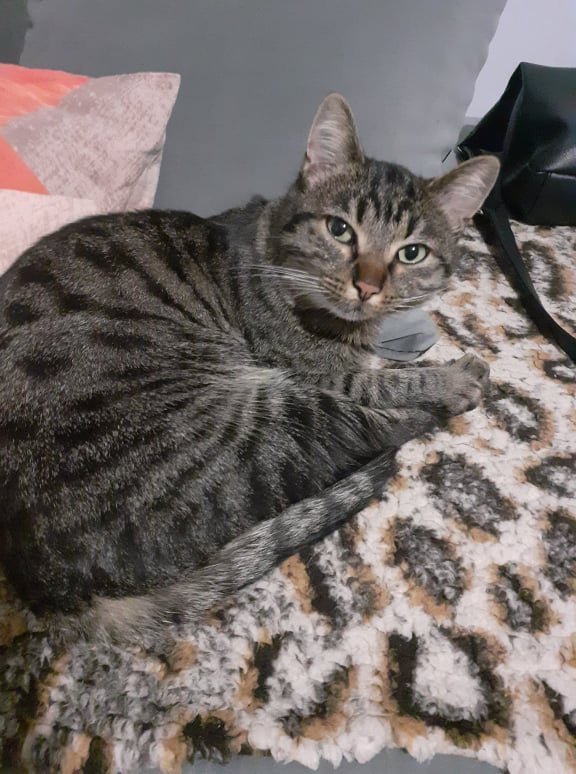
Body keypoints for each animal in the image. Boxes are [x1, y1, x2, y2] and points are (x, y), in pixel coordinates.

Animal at [0, 93, 499, 644]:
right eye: (340, 229)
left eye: (411, 253)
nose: (368, 287)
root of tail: (54, 591)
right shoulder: (323, 373)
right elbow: (388, 382)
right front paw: (452, 376)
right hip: (262, 420)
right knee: (373, 434)